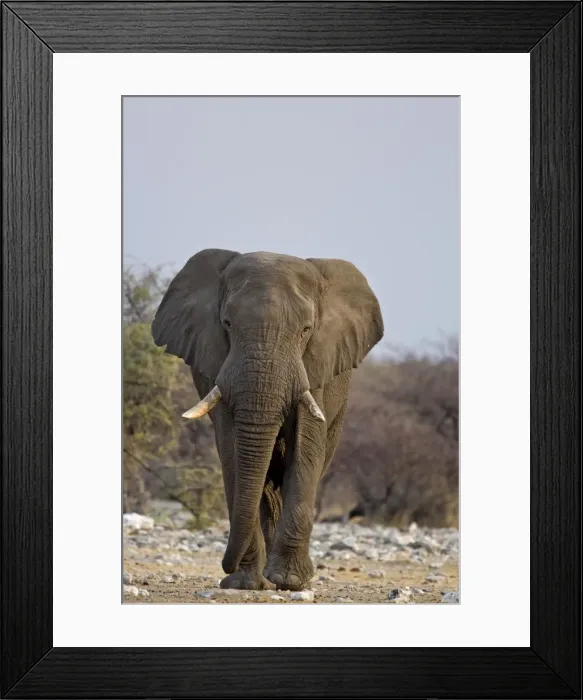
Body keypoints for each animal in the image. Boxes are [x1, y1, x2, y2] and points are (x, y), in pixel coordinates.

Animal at [151, 249, 383, 591]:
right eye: (227, 324)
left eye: (306, 330)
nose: (226, 567)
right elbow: (232, 450)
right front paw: (246, 583)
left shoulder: (317, 364)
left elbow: (306, 447)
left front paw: (290, 581)